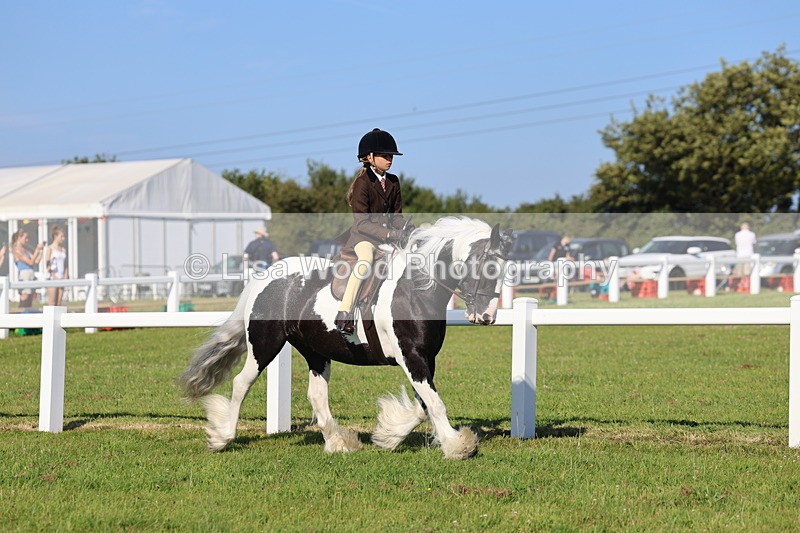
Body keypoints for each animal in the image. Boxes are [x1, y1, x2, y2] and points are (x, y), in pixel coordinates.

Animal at [178, 216, 513, 459]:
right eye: (486, 266)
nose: (486, 317)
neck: (414, 291)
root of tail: (268, 275)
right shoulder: (412, 356)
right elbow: (435, 404)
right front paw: (458, 446)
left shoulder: (425, 358)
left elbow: (424, 406)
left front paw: (388, 436)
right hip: (264, 345)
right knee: (241, 383)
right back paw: (223, 438)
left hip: (315, 351)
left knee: (316, 395)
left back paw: (337, 442)